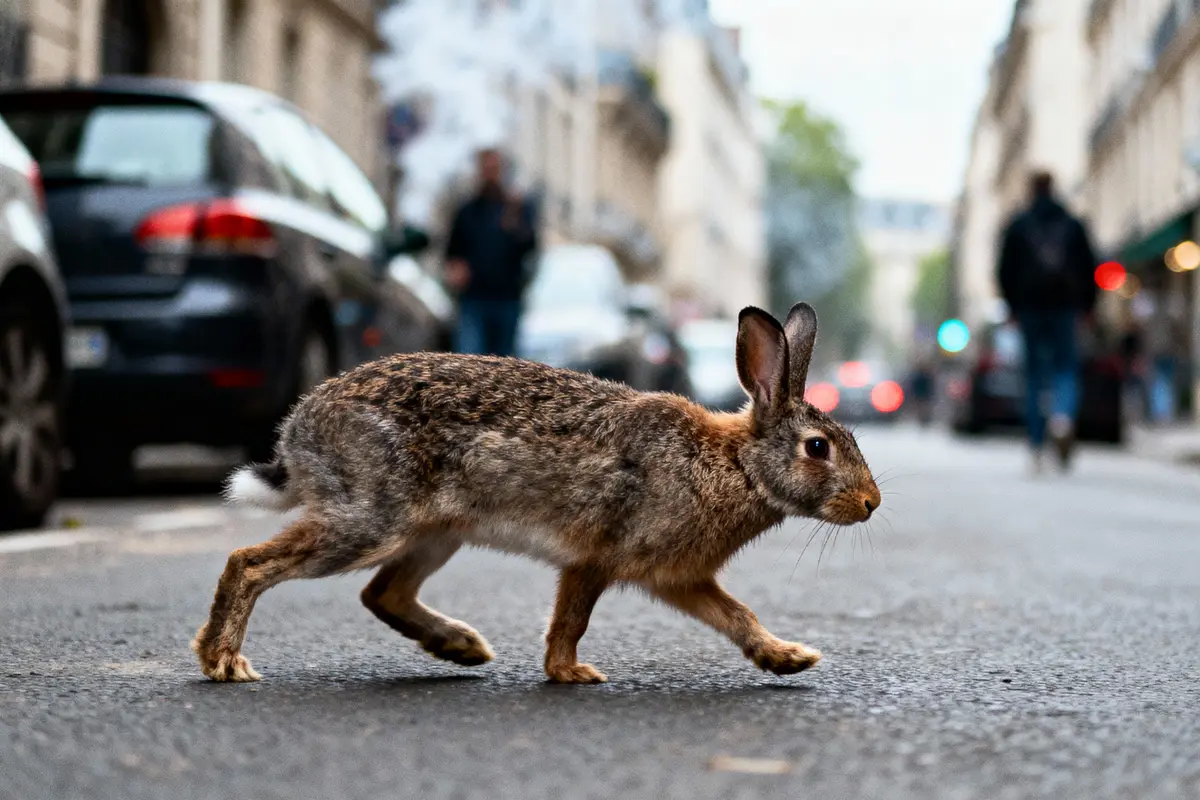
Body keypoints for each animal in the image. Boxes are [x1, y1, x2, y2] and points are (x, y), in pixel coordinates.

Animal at [192, 302, 881, 684]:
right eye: (818, 447)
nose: (872, 504)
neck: (736, 463)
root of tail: (299, 431)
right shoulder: (597, 556)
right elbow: (571, 619)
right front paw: (569, 674)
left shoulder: (679, 578)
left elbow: (739, 616)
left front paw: (787, 659)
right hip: (372, 519)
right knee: (249, 562)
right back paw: (223, 662)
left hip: (435, 534)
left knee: (381, 593)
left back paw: (461, 646)